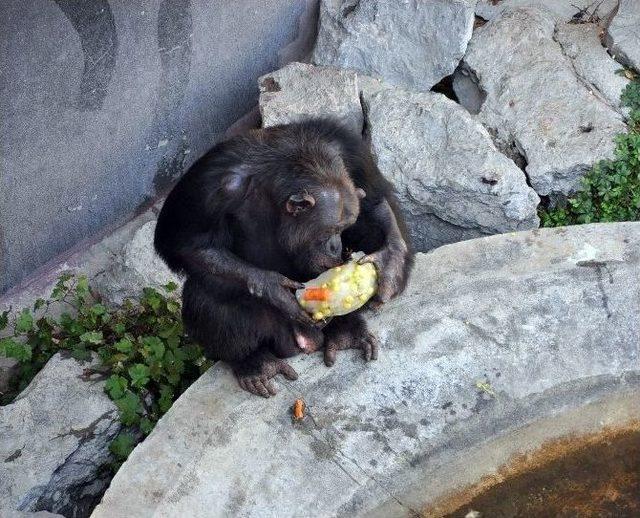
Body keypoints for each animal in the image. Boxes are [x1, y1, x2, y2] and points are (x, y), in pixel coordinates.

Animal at [156, 119, 416, 398]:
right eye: (327, 231)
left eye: (343, 227)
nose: (336, 246)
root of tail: (307, 341)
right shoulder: (210, 184)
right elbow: (187, 244)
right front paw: (273, 288)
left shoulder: (349, 147)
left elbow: (376, 200)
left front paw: (390, 264)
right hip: (277, 335)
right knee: (203, 292)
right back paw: (255, 363)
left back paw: (348, 332)